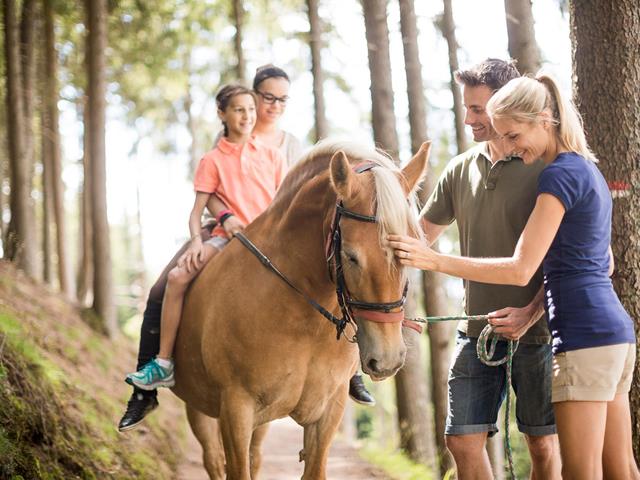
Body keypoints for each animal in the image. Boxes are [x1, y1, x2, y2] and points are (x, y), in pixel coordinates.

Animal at [172, 140, 430, 480]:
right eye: (351, 257)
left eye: (408, 252)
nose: (386, 360)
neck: (304, 322)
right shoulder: (235, 408)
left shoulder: (328, 410)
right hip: (200, 408)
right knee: (214, 460)